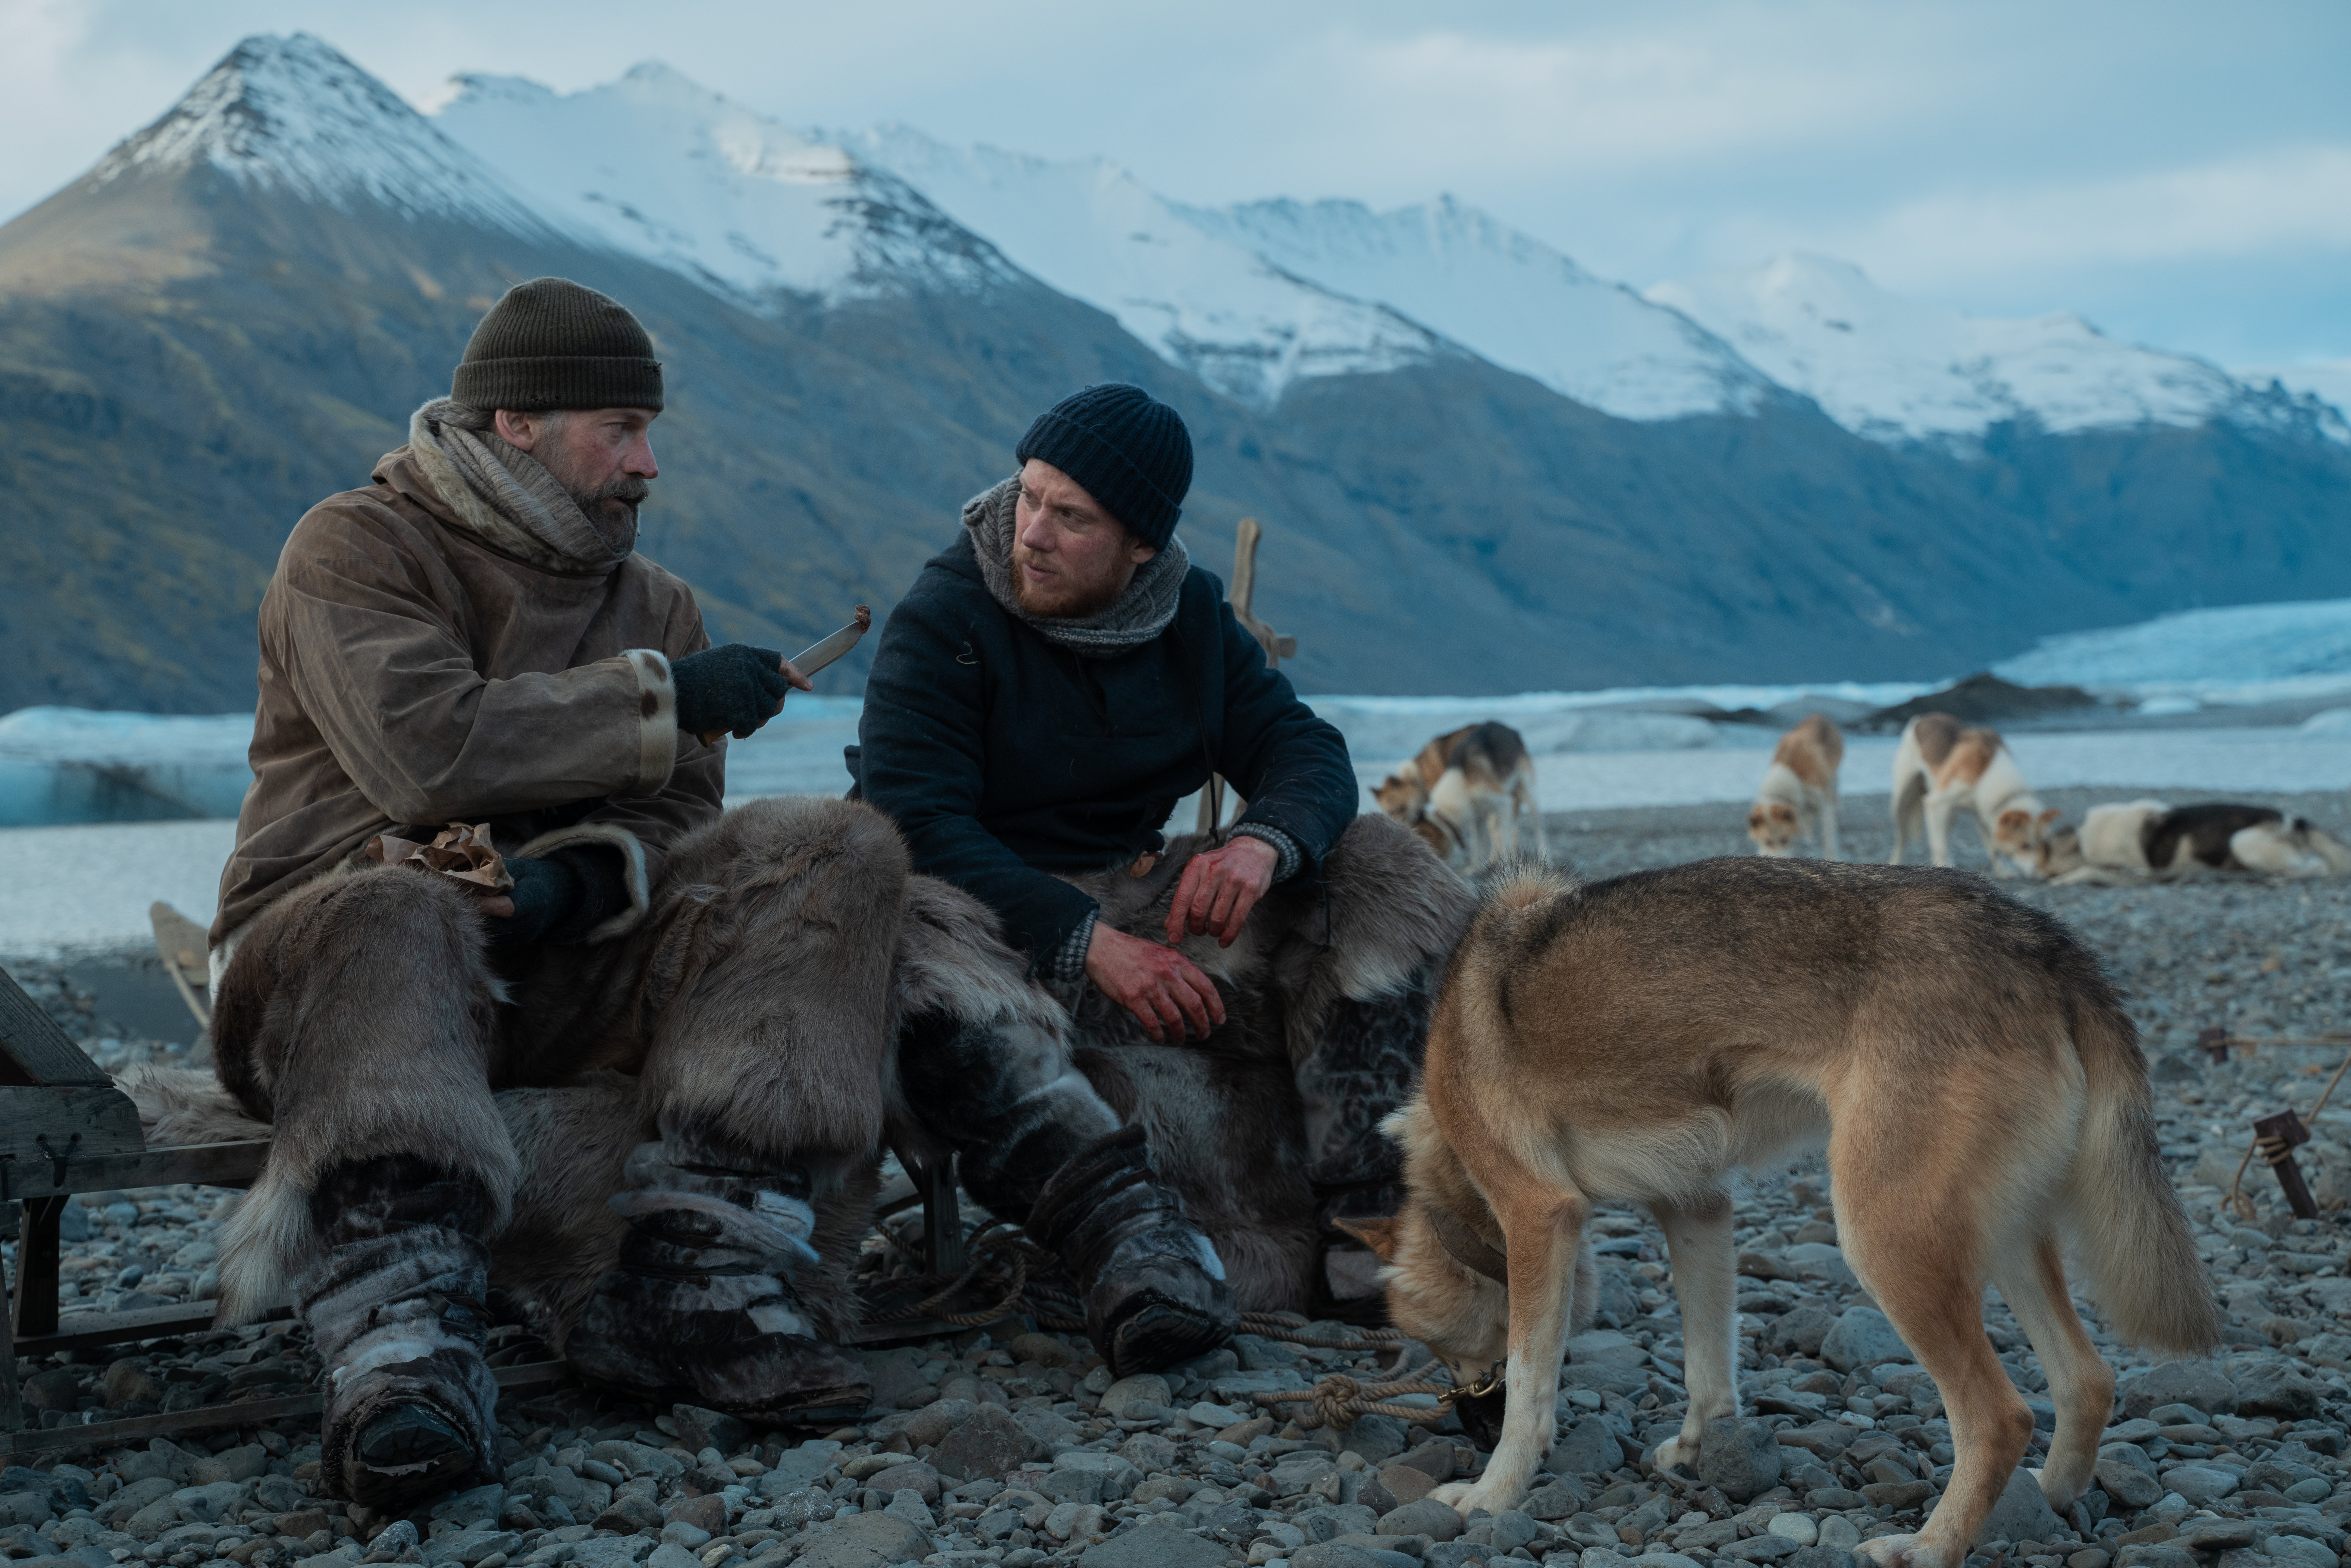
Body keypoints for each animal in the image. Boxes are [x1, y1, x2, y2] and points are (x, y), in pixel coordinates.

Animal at [1354, 860, 2210, 1568]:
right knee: (2087, 1380)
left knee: (1999, 1416)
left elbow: (1534, 1384)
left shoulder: (1540, 1217)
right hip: (1999, 1236)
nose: (1465, 1427)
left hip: (1886, 1238)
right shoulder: (1696, 1206)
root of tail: (2043, 942)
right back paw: (2049, 1499)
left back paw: (1929, 1546)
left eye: (1446, 1352)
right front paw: (1699, 1450)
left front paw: (1492, 1494)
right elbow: (1708, 1363)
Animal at [1373, 719, 1542, 870]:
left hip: (1527, 793)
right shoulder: (1481, 814)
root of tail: (1511, 730)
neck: (1418, 776)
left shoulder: (1499, 804)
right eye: (1388, 812)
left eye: (1400, 809)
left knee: (1534, 828)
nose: (1396, 835)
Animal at [1740, 714, 1843, 860]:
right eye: (1768, 842)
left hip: (1833, 775)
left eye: (1785, 840)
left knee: (1835, 792)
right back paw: (1808, 837)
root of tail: (1817, 716)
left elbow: (1830, 843)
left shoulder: (1825, 807)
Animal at [1881, 714, 2050, 879]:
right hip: (1902, 801)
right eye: (2025, 846)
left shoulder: (1983, 815)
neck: (1985, 772)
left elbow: (1992, 848)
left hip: (1949, 816)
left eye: (2043, 846)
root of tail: (1922, 718)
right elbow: (1940, 846)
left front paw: (2003, 871)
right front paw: (1945, 867)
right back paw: (1895, 863)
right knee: (1902, 838)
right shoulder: (1935, 804)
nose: (2040, 875)